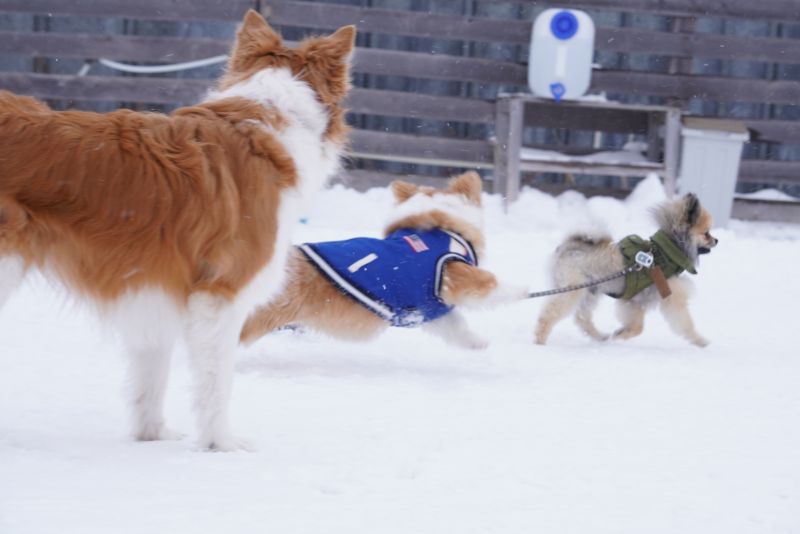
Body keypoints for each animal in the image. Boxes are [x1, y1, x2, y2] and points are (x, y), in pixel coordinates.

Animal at [0, 10, 356, 450]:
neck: (268, 117)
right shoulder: (219, 296)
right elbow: (216, 385)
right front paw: (222, 444)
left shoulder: (154, 288)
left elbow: (150, 379)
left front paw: (152, 436)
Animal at [242, 173, 532, 352]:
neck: (442, 226)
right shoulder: (454, 274)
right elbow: (492, 282)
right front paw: (523, 290)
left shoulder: (430, 307)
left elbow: (456, 326)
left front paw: (477, 343)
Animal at [536, 195, 720, 350]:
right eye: (706, 233)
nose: (717, 240)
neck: (666, 251)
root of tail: (567, 246)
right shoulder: (662, 299)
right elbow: (681, 324)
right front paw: (700, 341)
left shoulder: (635, 302)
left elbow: (637, 326)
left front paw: (619, 333)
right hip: (573, 290)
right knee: (549, 315)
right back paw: (540, 340)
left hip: (590, 291)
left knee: (582, 318)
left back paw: (600, 336)